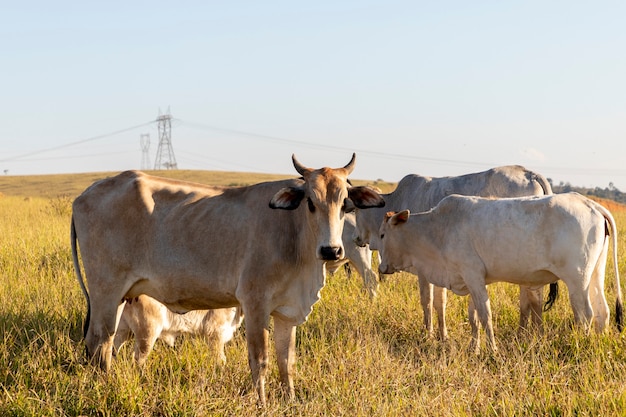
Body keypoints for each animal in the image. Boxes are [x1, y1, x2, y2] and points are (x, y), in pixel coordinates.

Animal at [354, 164, 552, 340]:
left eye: (355, 211)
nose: (356, 239)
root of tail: (530, 173)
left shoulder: (423, 268)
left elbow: (427, 301)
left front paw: (429, 334)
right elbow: (440, 302)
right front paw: (443, 335)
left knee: (529, 299)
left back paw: (525, 335)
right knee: (534, 299)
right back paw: (531, 335)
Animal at [378, 192, 620, 352]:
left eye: (382, 234)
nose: (381, 268)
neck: (438, 228)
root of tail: (591, 204)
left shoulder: (473, 275)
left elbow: (486, 316)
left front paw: (492, 350)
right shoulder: (472, 279)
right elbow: (474, 317)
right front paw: (474, 348)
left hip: (577, 280)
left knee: (585, 315)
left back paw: (581, 344)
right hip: (594, 274)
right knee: (603, 311)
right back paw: (598, 344)